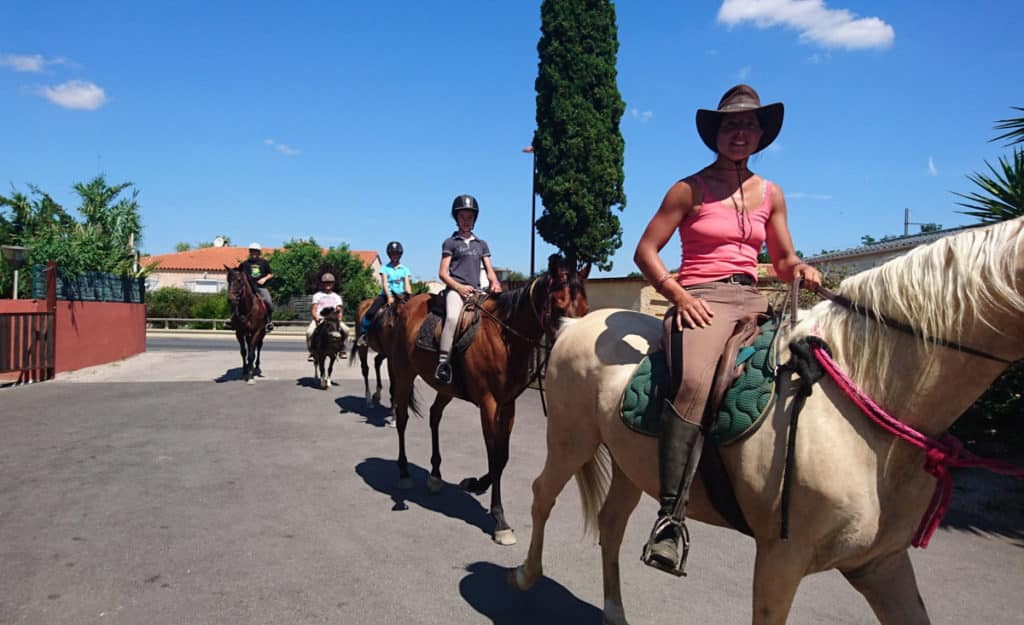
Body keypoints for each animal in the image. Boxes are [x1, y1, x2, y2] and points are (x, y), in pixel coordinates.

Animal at [385, 255, 593, 540]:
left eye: (586, 308)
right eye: (559, 307)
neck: (504, 339)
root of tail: (406, 307)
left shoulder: (508, 405)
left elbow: (502, 457)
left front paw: (475, 483)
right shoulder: (488, 404)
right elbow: (494, 457)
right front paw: (500, 520)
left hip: (445, 389)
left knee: (434, 416)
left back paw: (435, 474)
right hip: (404, 374)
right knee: (403, 419)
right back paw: (404, 472)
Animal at [509, 215, 1024, 622]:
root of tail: (574, 325)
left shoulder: (882, 565)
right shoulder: (781, 559)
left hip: (630, 465)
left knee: (611, 524)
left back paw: (615, 612)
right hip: (570, 440)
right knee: (541, 495)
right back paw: (525, 575)